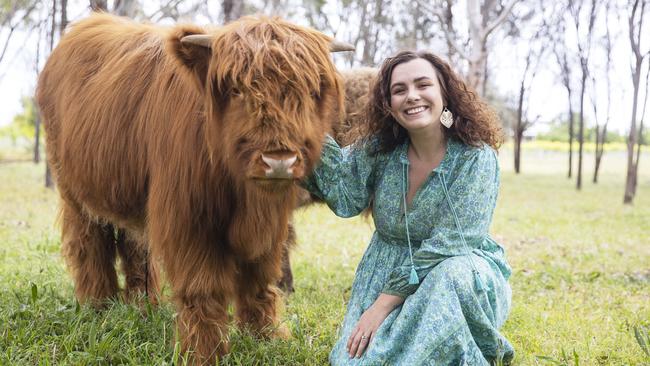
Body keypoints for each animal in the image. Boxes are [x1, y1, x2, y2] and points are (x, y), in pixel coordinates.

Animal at [38, 12, 352, 362]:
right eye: (236, 90)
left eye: (309, 92)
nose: (279, 160)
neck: (245, 197)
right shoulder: (189, 220)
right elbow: (203, 286)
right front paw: (204, 352)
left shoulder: (271, 226)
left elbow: (259, 281)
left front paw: (267, 338)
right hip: (75, 193)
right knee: (91, 246)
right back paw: (100, 307)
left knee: (135, 248)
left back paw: (144, 307)